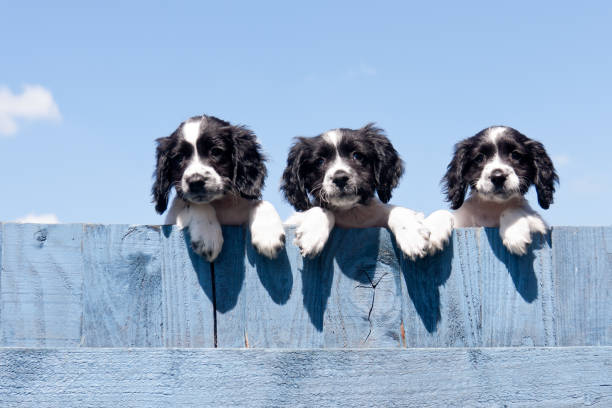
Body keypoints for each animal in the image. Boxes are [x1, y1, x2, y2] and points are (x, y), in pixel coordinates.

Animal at [153, 114, 286, 262]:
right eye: (179, 157)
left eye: (216, 151)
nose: (195, 181)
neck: (220, 203)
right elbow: (197, 205)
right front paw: (207, 234)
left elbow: (260, 202)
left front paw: (269, 235)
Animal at [280, 122, 450, 260]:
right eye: (320, 161)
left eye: (357, 155)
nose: (340, 178)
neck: (350, 213)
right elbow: (319, 210)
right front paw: (312, 234)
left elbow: (393, 209)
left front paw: (411, 234)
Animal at [442, 126, 556, 256]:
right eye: (479, 158)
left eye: (516, 155)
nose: (498, 177)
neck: (494, 206)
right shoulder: (462, 224)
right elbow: (443, 213)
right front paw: (431, 230)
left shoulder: (541, 224)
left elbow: (515, 209)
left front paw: (514, 233)